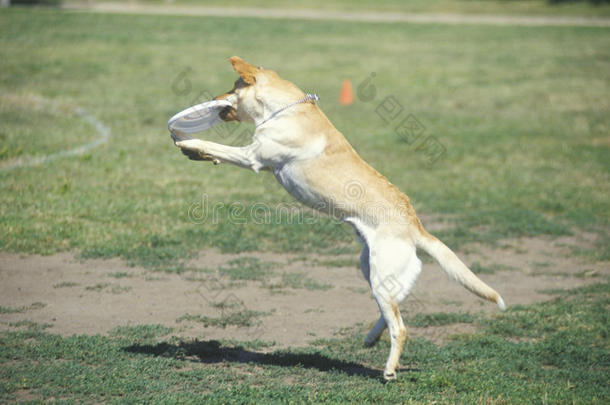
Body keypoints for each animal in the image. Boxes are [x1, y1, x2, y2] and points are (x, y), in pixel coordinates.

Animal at [175, 56, 504, 378]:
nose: (213, 100)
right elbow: (217, 153)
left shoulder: (253, 157)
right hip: (372, 270)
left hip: (381, 274)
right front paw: (199, 153)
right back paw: (371, 338)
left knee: (400, 327)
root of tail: (416, 228)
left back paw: (389, 370)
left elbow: (216, 146)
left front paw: (189, 144)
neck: (284, 110)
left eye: (232, 87)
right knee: (393, 310)